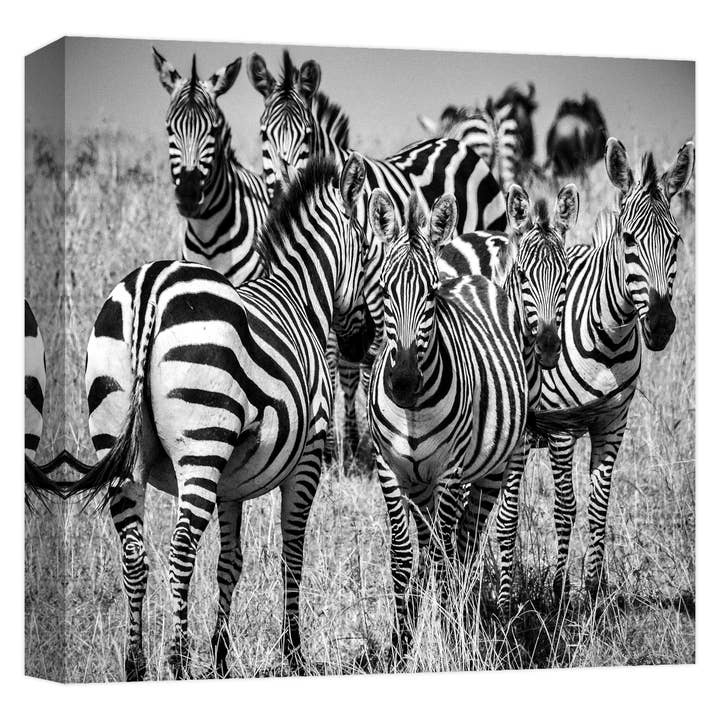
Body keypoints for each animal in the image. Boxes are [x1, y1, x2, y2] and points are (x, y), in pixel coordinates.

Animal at [67, 154, 372, 680]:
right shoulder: (308, 459)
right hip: (202, 444)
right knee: (180, 549)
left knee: (135, 555)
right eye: (374, 250)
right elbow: (292, 553)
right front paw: (292, 653)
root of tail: (150, 288)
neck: (300, 298)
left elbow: (230, 563)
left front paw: (222, 657)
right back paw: (177, 660)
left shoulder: (232, 483)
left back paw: (136, 663)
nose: (364, 344)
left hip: (121, 442)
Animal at [248, 50, 507, 454]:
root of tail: (453, 142)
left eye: (307, 134)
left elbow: (369, 368)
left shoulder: (371, 297)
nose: (283, 196)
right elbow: (337, 367)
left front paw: (371, 439)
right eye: (263, 134)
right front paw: (340, 445)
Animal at [366, 190, 527, 654]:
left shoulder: (450, 471)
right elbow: (405, 552)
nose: (403, 382)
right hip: (425, 482)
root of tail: (476, 279)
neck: (413, 411)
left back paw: (489, 618)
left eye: (431, 294)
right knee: (450, 539)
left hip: (504, 458)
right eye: (384, 291)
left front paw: (442, 634)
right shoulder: (389, 468)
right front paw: (403, 639)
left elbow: (442, 554)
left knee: (481, 535)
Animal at [437, 184, 578, 614]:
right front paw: (494, 601)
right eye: (524, 275)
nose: (549, 346)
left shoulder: (530, 436)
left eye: (565, 276)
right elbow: (497, 517)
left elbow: (515, 517)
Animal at [529, 137, 694, 600]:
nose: (661, 325)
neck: (610, 338)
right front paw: (558, 590)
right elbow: (565, 505)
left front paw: (594, 586)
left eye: (676, 240)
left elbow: (600, 505)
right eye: (628, 239)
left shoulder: (613, 423)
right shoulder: (562, 427)